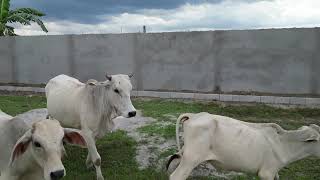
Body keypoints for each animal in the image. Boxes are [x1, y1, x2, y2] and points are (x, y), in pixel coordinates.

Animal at [166, 112, 320, 180]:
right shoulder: (266, 173)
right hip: (192, 158)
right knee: (177, 176)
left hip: (185, 155)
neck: (283, 143)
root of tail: (193, 115)